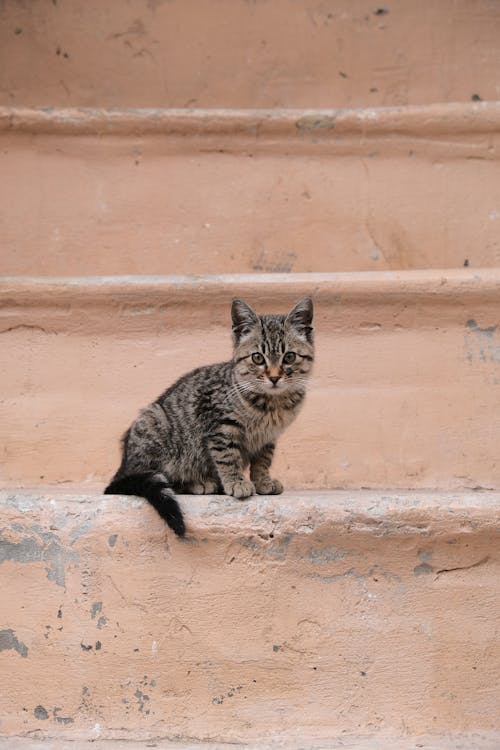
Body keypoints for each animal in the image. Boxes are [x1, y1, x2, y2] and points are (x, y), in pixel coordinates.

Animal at [104, 296, 314, 536]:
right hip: (154, 425)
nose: (274, 377)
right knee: (159, 477)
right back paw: (200, 483)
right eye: (258, 358)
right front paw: (236, 482)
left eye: (289, 357)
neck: (271, 404)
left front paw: (263, 482)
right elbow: (227, 457)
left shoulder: (268, 438)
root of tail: (124, 465)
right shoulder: (220, 426)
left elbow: (263, 461)